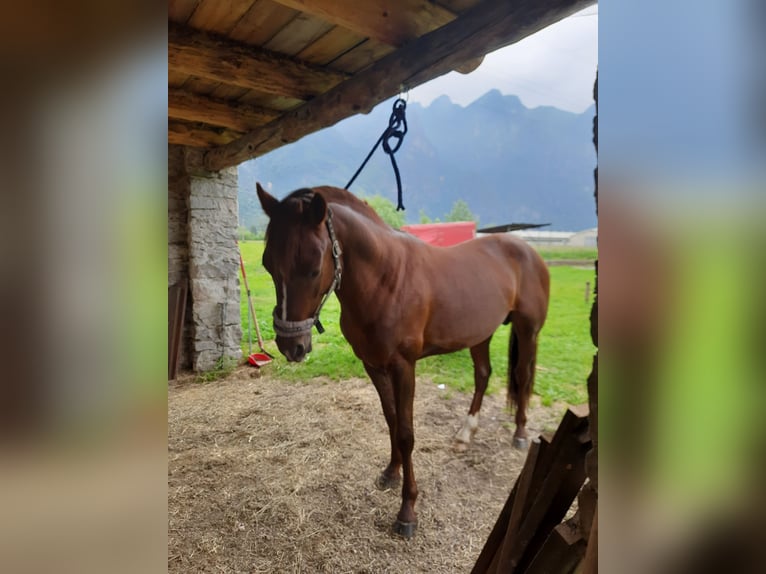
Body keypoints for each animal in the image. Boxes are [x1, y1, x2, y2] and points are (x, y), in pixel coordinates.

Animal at [258, 184, 552, 540]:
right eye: (267, 264)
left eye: (314, 267)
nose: (292, 346)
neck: (386, 278)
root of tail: (527, 250)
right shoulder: (373, 364)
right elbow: (391, 420)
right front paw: (390, 472)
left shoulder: (404, 366)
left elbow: (406, 433)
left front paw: (407, 510)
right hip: (480, 333)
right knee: (483, 375)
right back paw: (464, 435)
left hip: (528, 329)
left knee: (522, 375)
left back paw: (520, 433)